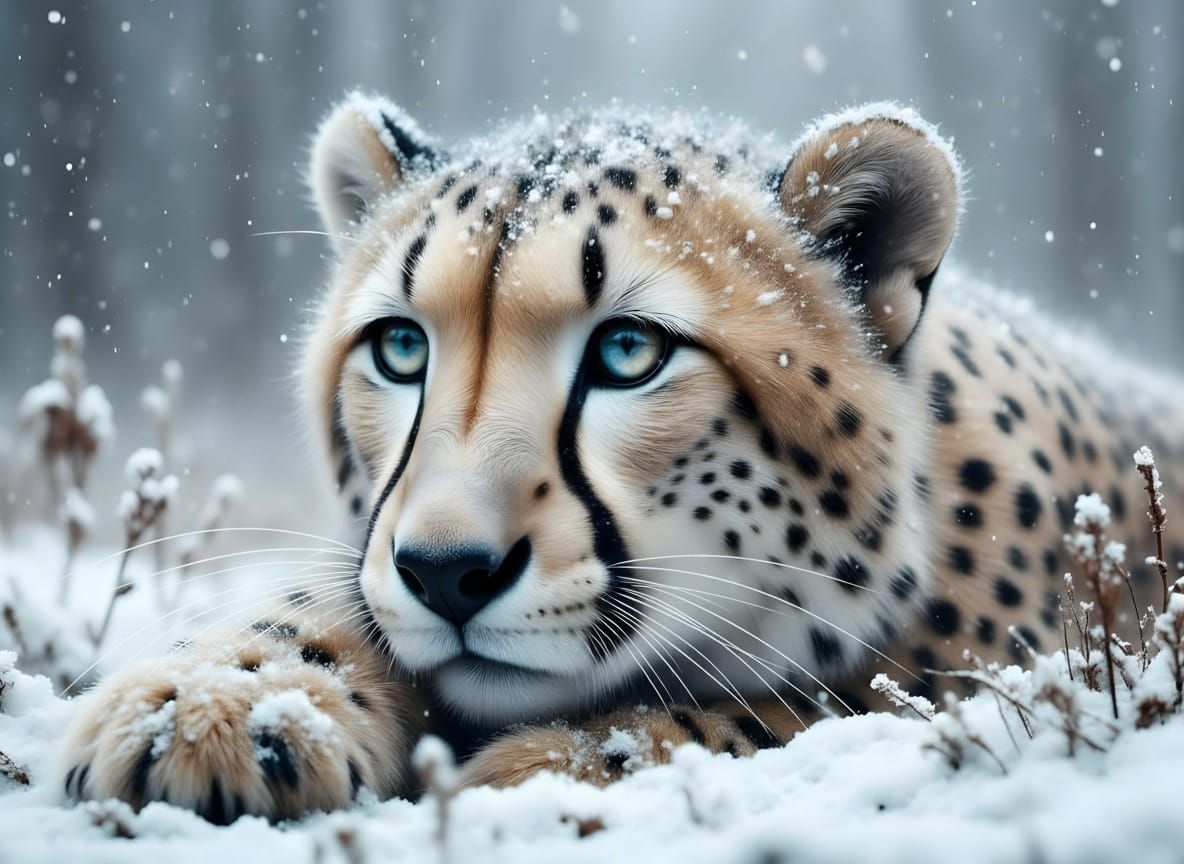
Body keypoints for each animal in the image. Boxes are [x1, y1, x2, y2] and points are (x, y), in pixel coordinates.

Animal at [60, 92, 1184, 823]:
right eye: (401, 347)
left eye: (628, 353)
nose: (446, 573)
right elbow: (330, 599)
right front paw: (224, 699)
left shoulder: (995, 676)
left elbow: (781, 716)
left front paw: (536, 780)